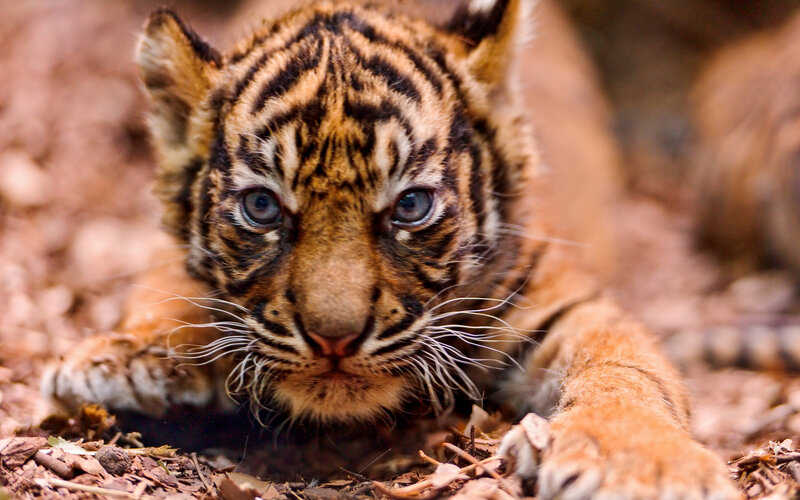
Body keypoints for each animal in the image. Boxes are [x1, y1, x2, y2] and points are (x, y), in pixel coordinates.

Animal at [41, 0, 739, 497]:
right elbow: (168, 278)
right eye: (262, 207)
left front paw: (642, 465)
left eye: (410, 206)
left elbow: (627, 370)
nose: (334, 340)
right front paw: (124, 356)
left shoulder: (565, 303)